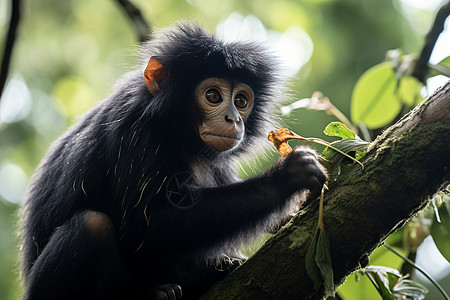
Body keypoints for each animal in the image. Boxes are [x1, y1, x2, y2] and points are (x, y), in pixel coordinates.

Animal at [20, 22, 326, 298]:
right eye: (213, 96)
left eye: (241, 101)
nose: (234, 118)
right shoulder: (136, 132)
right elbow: (150, 224)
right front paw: (287, 176)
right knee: (90, 225)